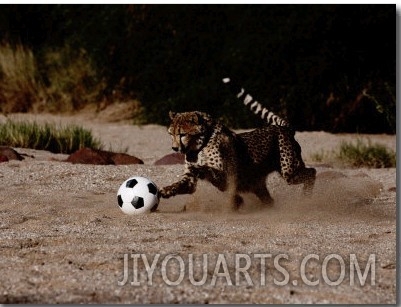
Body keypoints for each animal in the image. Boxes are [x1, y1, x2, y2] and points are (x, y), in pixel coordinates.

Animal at [159, 78, 316, 211]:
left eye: (182, 134)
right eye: (171, 134)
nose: (174, 148)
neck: (199, 145)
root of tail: (282, 128)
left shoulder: (227, 175)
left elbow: (208, 169)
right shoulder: (190, 179)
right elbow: (181, 184)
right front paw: (166, 190)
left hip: (289, 171)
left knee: (312, 172)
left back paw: (306, 197)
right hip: (257, 184)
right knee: (269, 200)